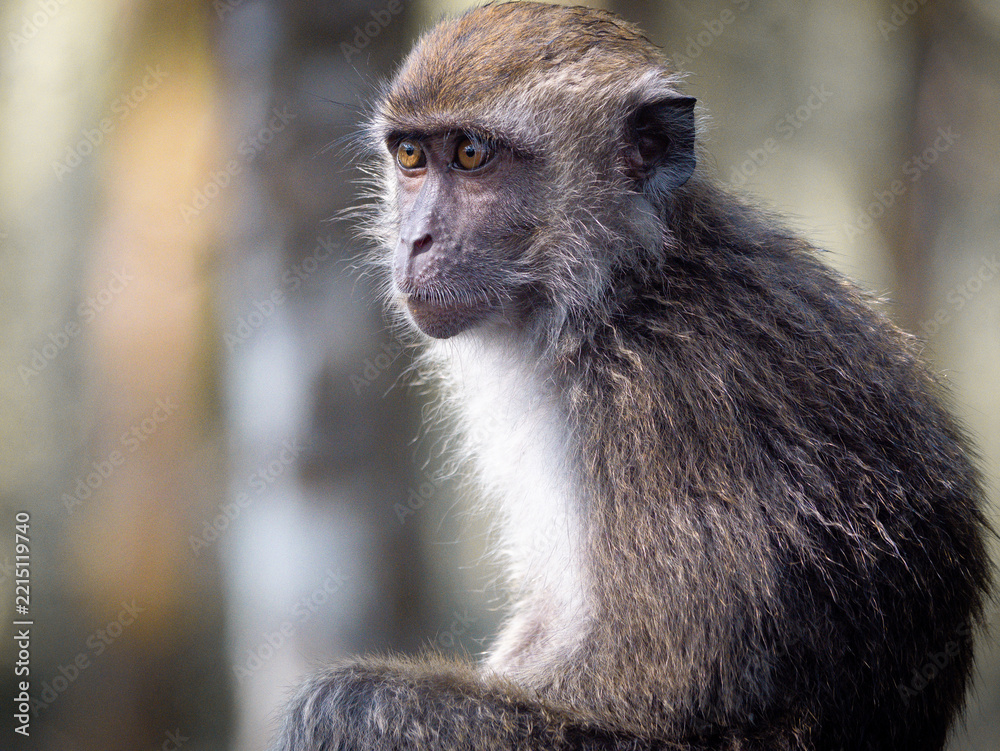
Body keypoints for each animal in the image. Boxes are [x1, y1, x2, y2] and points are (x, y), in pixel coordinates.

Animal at [272, 3, 992, 750]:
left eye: (472, 155)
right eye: (411, 157)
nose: (414, 241)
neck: (620, 288)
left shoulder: (663, 409)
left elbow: (650, 704)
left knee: (346, 703)